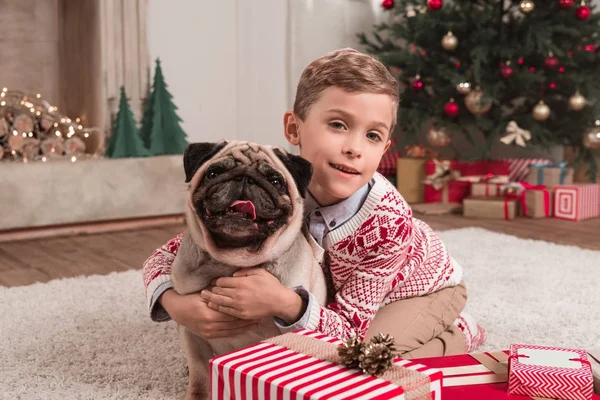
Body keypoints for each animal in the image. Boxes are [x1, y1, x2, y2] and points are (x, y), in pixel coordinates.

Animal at [169, 139, 328, 398]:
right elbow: (200, 377)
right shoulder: (192, 332)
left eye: (275, 180)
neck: (235, 260)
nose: (245, 179)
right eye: (213, 173)